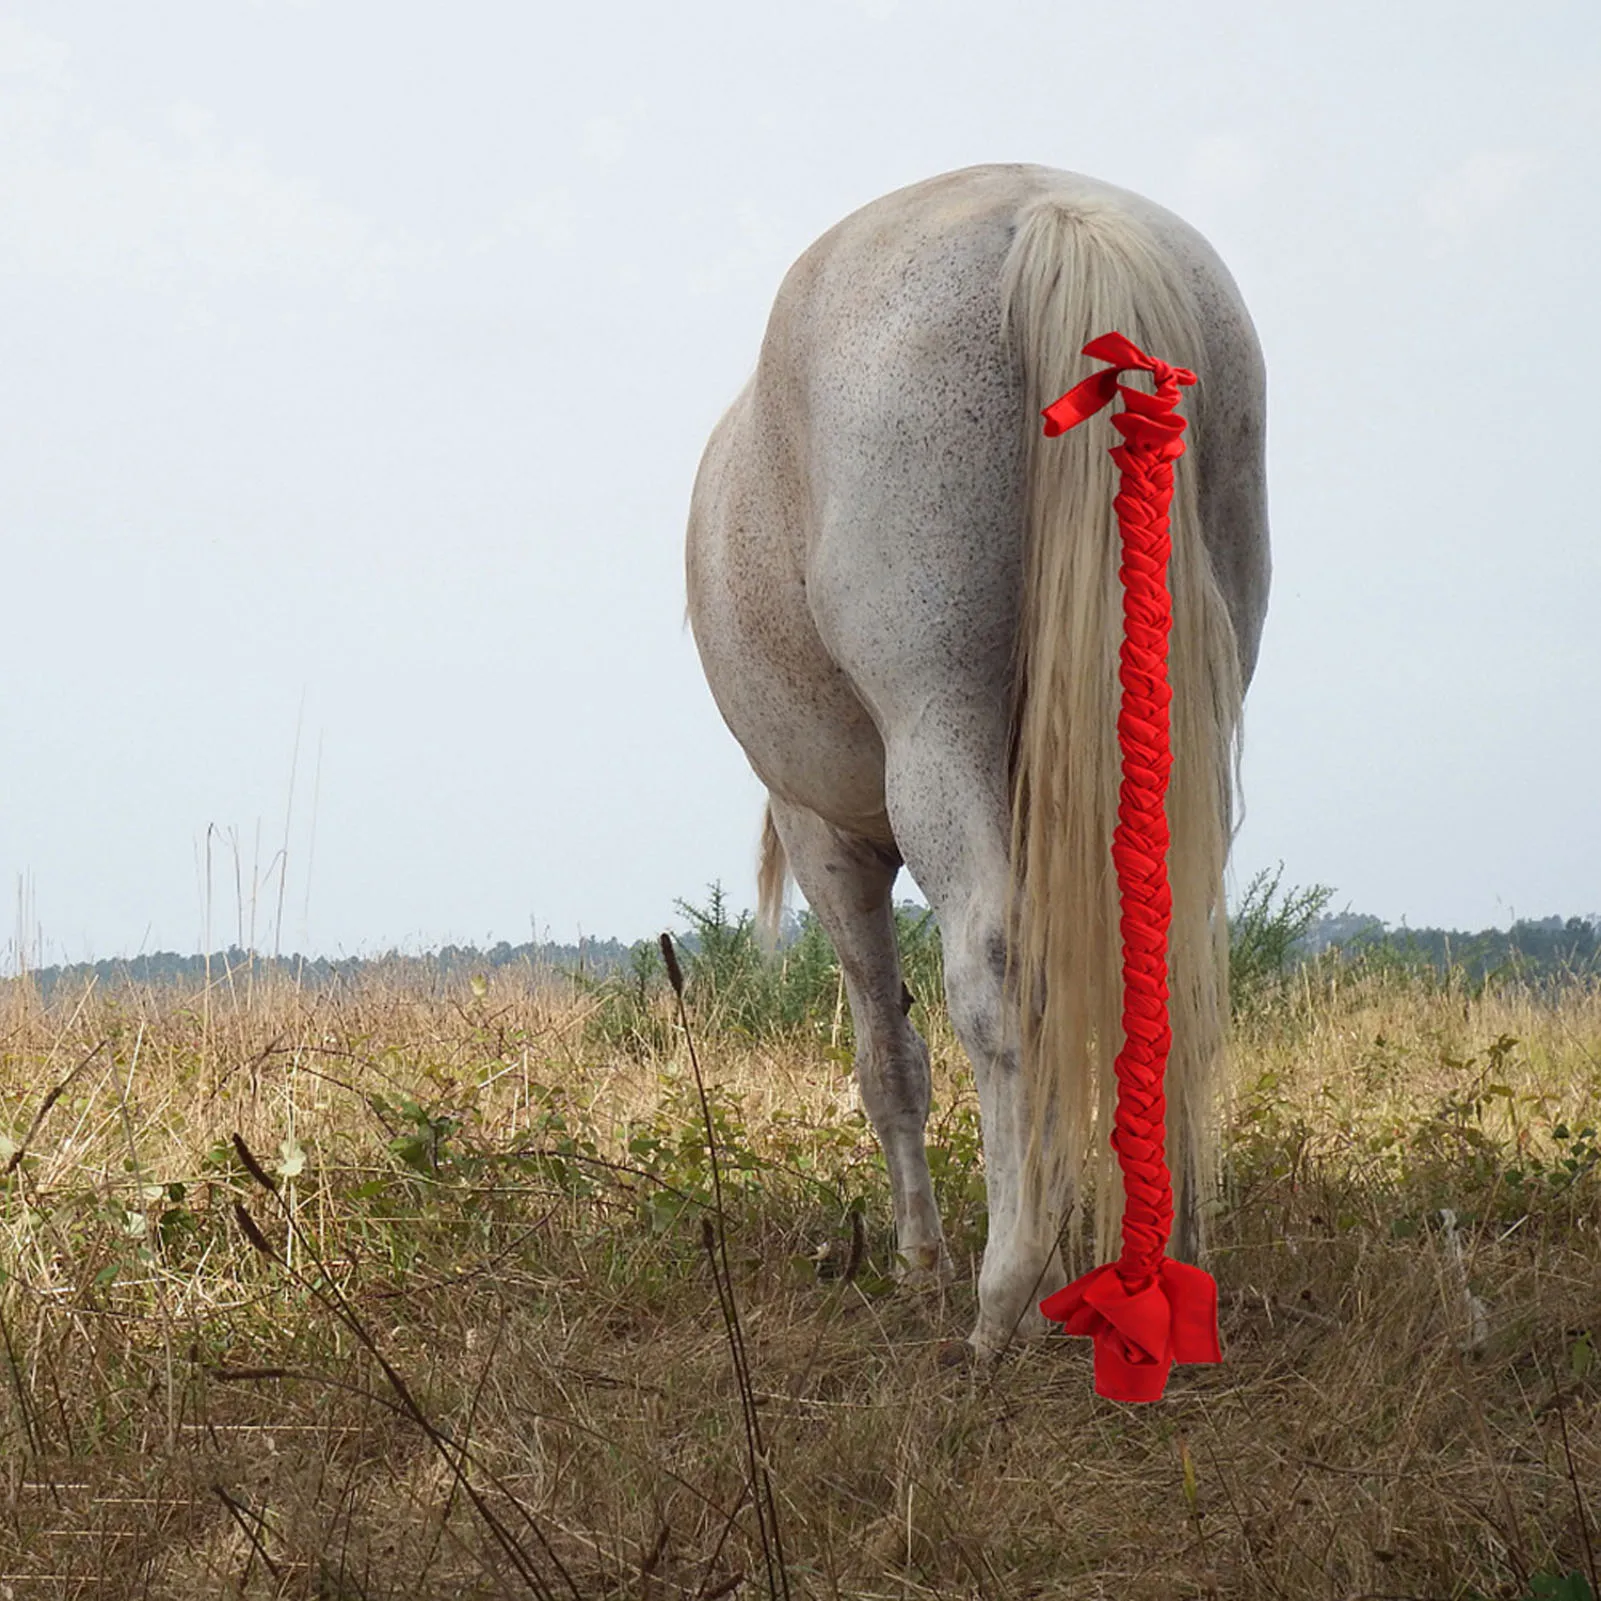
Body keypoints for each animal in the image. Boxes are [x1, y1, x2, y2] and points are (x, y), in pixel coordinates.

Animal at [682, 162, 1267, 1357]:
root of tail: (1048, 213)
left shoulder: (827, 837)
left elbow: (887, 1056)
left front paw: (920, 1257)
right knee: (1174, 956)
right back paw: (1171, 1252)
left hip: (933, 727)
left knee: (994, 968)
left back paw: (1004, 1295)